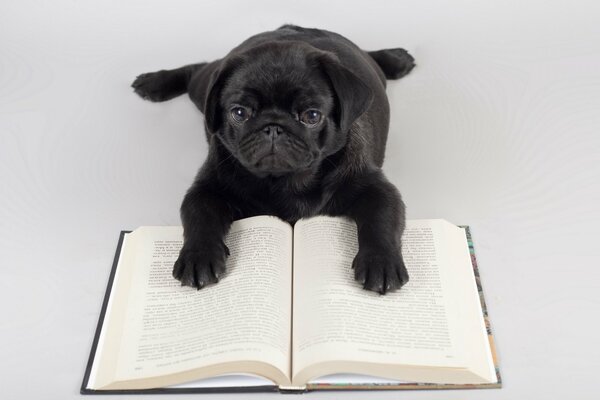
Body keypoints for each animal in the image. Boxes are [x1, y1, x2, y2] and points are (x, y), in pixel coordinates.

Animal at [132, 25, 414, 294]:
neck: (284, 181)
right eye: (239, 113)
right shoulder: (207, 189)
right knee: (197, 69)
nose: (274, 127)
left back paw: (396, 59)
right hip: (203, 87)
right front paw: (198, 257)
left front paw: (381, 262)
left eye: (312, 115)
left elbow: (380, 221)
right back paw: (154, 82)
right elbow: (200, 217)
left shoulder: (375, 189)